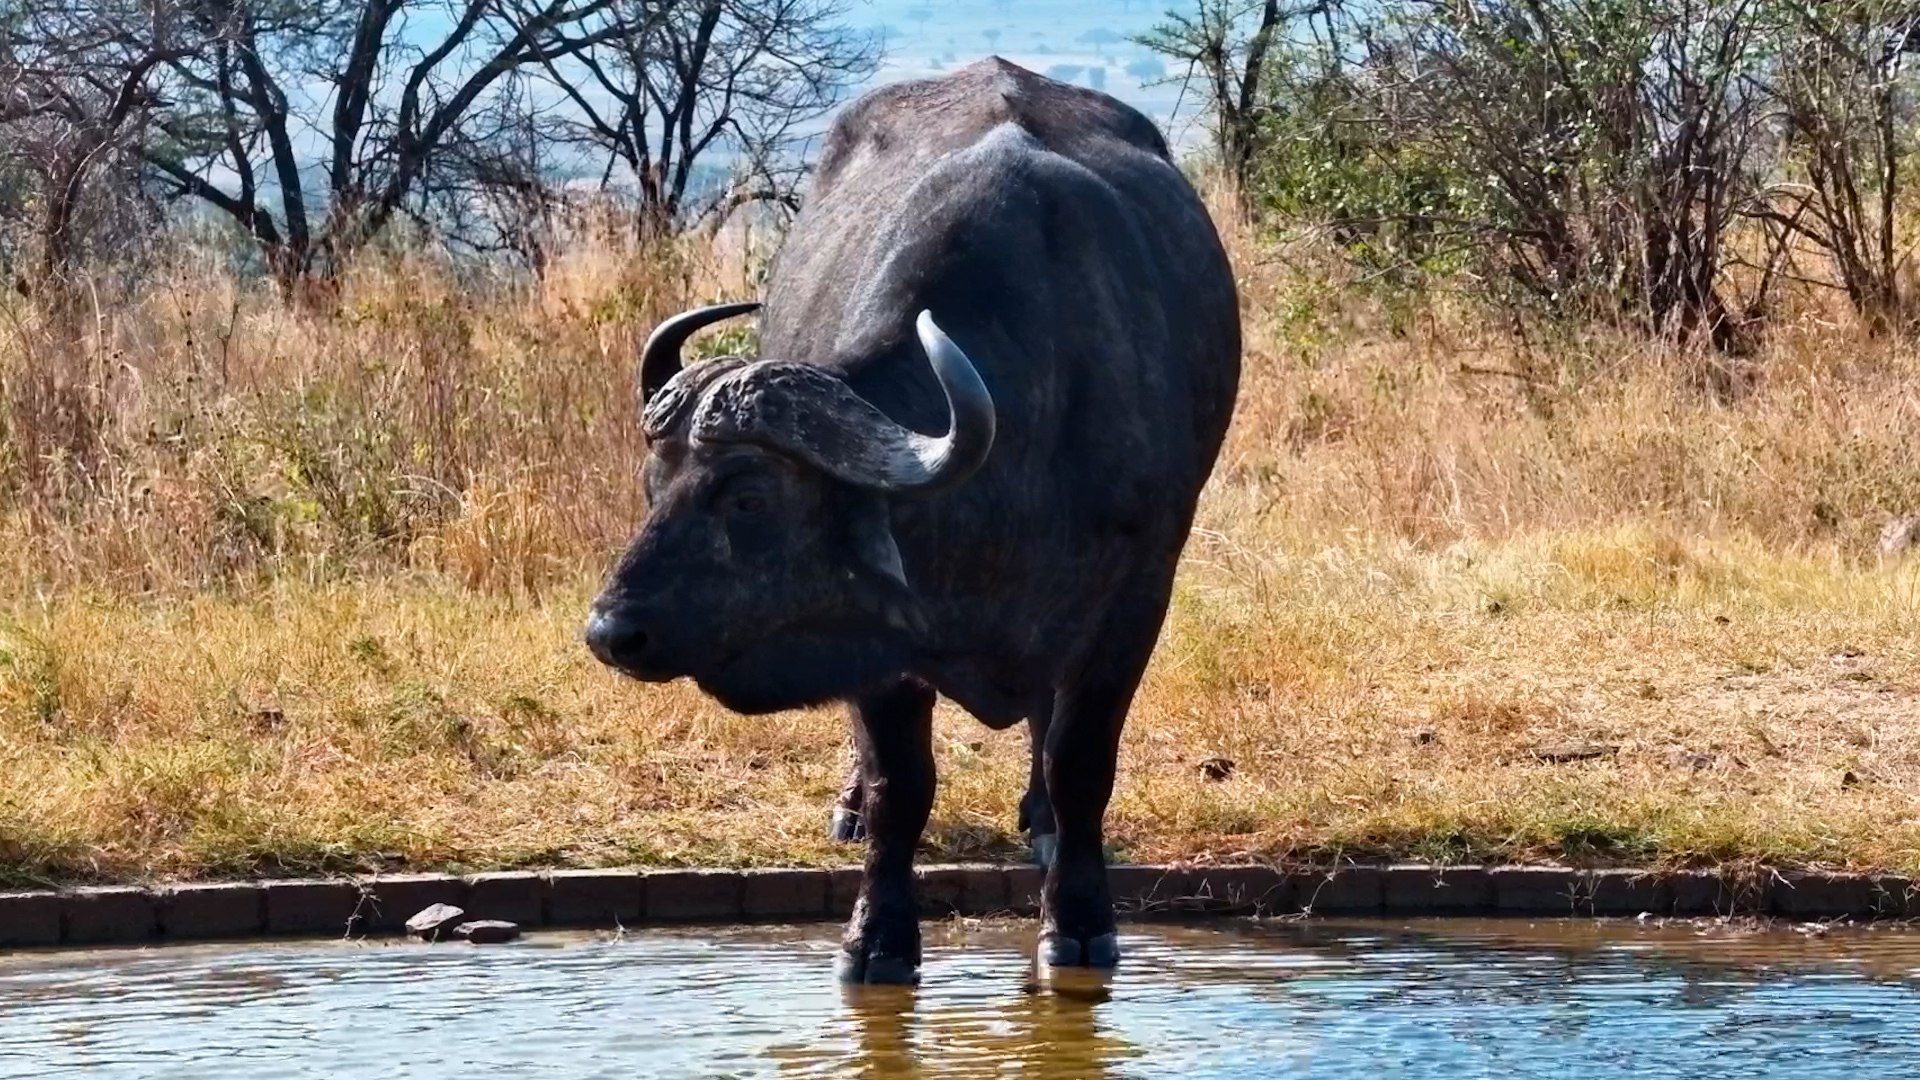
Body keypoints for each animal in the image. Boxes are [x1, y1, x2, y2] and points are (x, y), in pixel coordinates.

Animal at [585, 57, 1240, 982]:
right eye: (655, 487)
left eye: (748, 499)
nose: (613, 631)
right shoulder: (878, 640)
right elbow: (903, 786)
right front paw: (877, 936)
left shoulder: (1136, 598)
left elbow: (1079, 762)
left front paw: (1077, 920)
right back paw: (852, 807)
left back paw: (1039, 821)